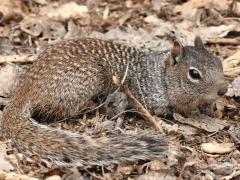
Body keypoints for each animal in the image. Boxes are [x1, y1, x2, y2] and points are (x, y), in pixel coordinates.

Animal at [0, 36, 227, 166]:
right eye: (194, 74)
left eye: (219, 61)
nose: (224, 90)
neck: (159, 75)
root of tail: (26, 89)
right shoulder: (147, 98)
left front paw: (208, 109)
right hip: (85, 81)